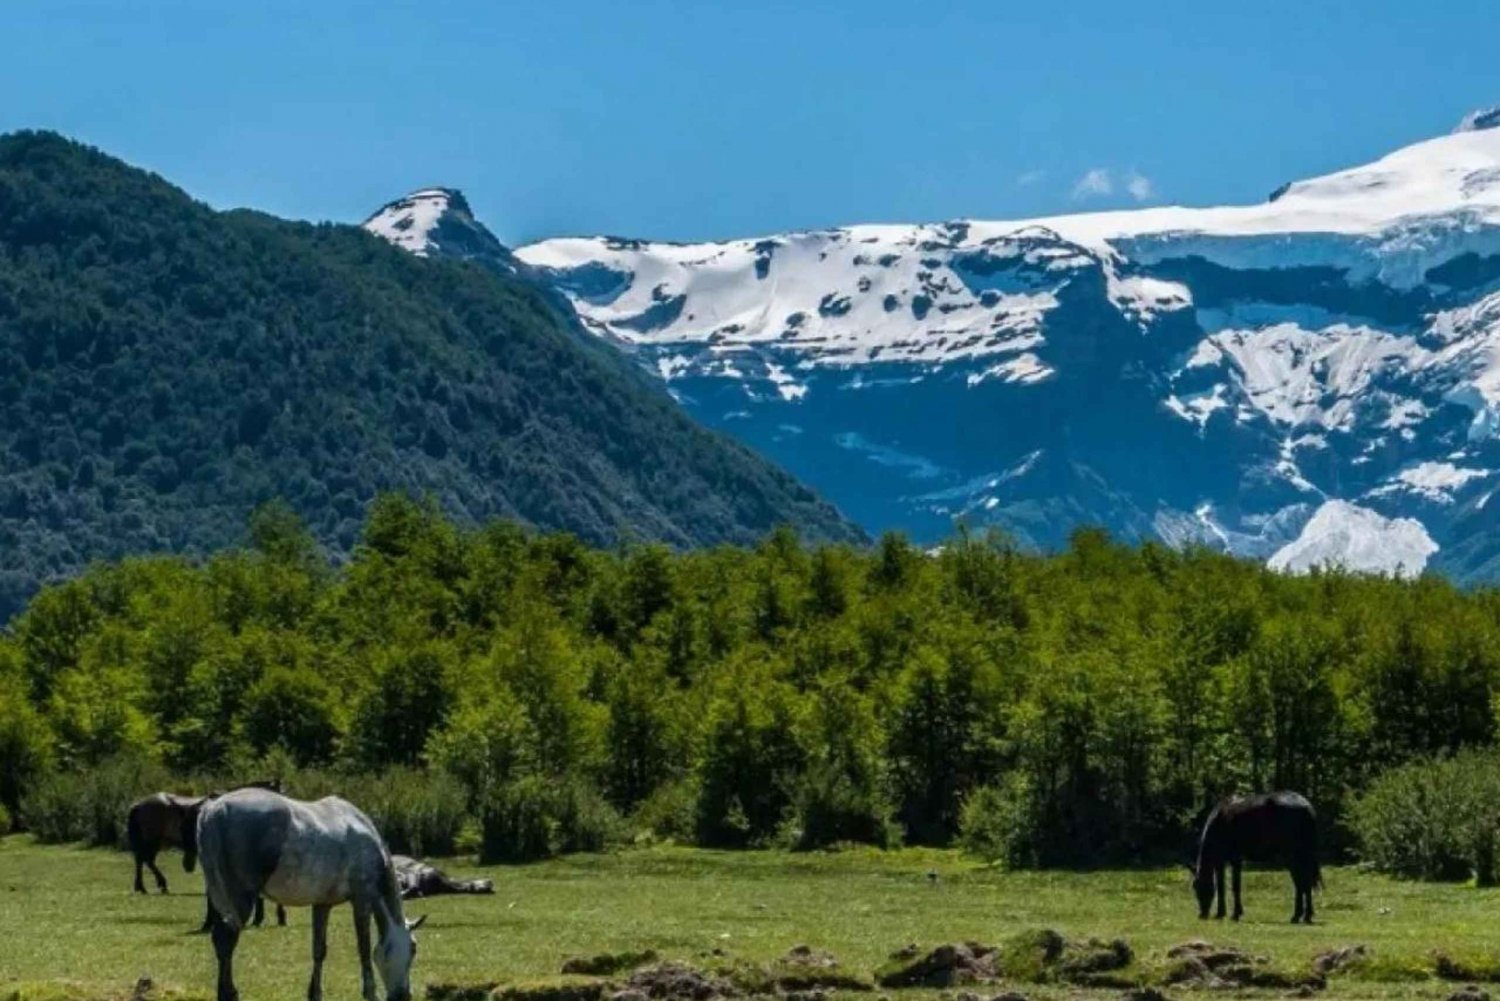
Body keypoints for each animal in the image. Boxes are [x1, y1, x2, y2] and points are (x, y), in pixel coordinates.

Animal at [196, 792, 426, 1001]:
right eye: (413, 948)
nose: (404, 995)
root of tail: (215, 808)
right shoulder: (362, 900)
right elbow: (364, 948)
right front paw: (370, 993)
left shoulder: (322, 904)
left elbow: (319, 950)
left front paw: (315, 993)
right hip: (240, 897)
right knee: (226, 941)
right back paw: (229, 994)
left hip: (219, 898)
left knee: (220, 941)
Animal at [1188, 792, 1320, 924]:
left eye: (1199, 887)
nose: (1202, 915)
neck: (1219, 820)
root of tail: (1305, 805)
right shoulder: (1224, 862)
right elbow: (1223, 886)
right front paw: (1223, 913)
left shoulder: (1234, 860)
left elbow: (1234, 887)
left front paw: (1232, 914)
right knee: (1305, 884)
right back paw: (1306, 916)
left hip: (1292, 856)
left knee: (1301, 884)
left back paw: (1298, 916)